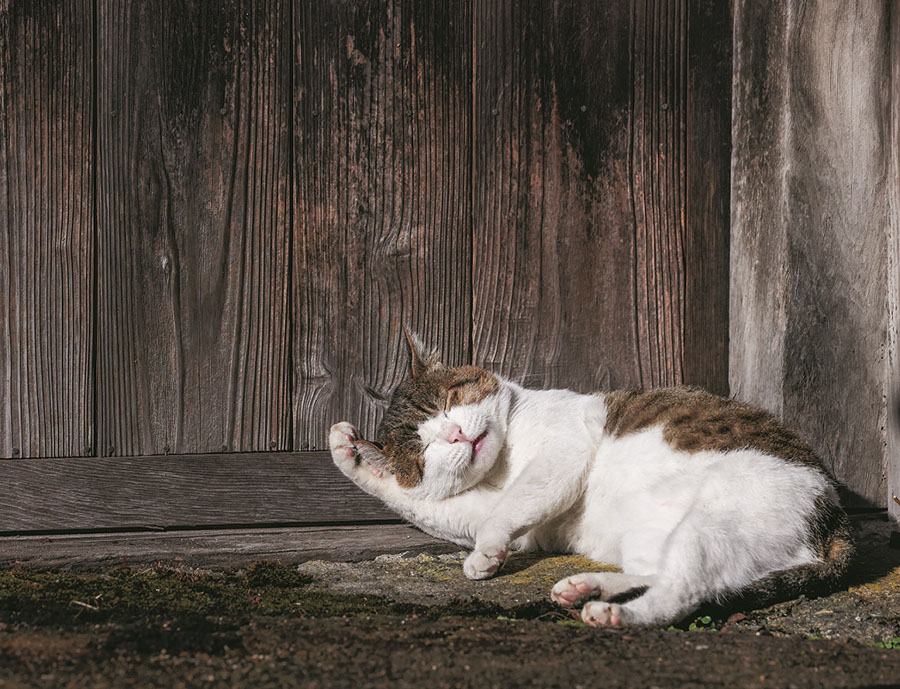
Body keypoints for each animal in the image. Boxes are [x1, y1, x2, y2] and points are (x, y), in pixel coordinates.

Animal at [326, 330, 856, 628]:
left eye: (449, 402)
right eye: (423, 451)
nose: (455, 434)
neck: (504, 463)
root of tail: (833, 513)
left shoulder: (564, 449)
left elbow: (510, 505)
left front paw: (485, 555)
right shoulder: (490, 514)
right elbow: (431, 505)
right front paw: (347, 453)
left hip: (714, 520)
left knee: (686, 592)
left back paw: (616, 614)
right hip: (654, 534)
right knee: (666, 574)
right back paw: (588, 588)